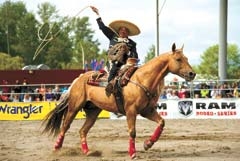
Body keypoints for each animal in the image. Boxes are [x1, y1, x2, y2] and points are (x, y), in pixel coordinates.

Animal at [41, 42, 195, 158]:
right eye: (178, 59)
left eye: (187, 58)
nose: (192, 73)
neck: (142, 79)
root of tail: (78, 79)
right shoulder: (131, 111)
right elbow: (132, 131)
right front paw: (132, 153)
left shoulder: (147, 111)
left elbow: (161, 122)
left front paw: (148, 144)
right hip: (74, 107)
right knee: (65, 126)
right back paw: (57, 148)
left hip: (93, 111)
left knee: (82, 131)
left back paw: (88, 152)